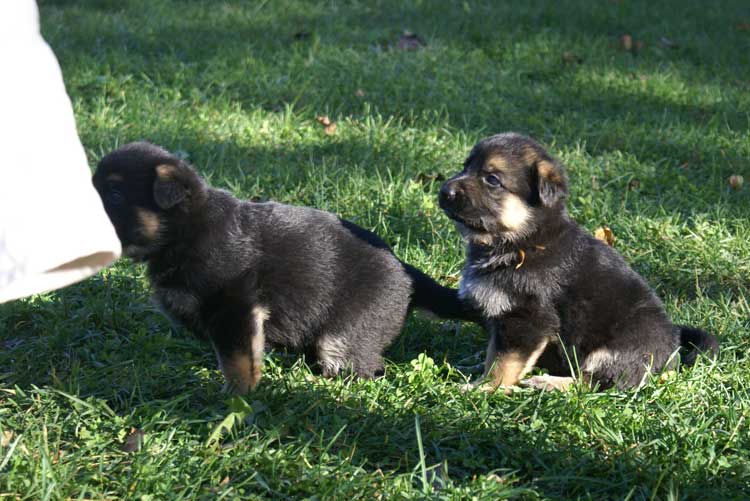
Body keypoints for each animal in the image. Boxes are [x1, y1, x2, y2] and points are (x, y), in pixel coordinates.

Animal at [92, 142, 476, 394]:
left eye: (114, 195)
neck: (186, 229)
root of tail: (406, 271)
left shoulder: (236, 307)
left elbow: (238, 360)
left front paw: (238, 398)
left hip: (346, 333)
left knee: (361, 368)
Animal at [440, 133, 724, 390]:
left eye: (492, 179)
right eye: (465, 167)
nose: (443, 191)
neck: (524, 240)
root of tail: (672, 357)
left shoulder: (528, 317)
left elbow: (504, 361)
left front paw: (485, 388)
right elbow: (494, 350)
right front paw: (478, 369)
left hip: (619, 346)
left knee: (596, 383)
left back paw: (549, 383)